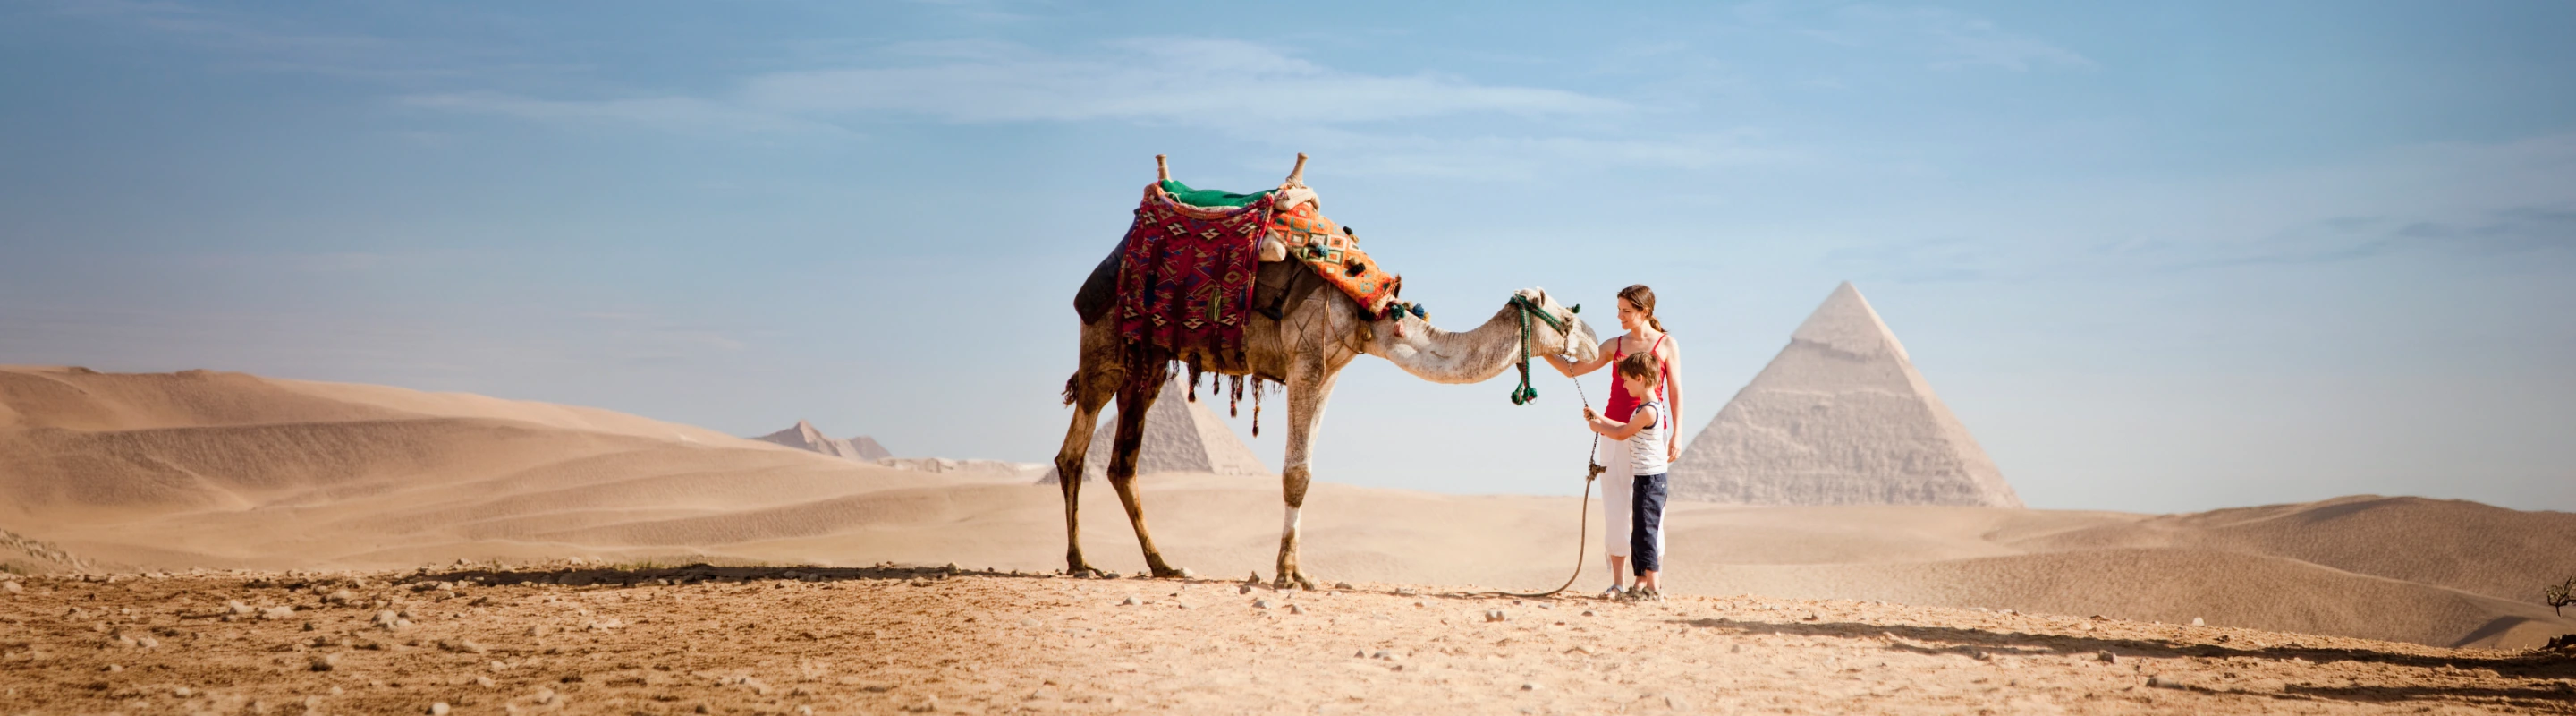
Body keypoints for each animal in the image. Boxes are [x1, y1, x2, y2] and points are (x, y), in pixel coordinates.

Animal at [1052, 156, 1601, 589]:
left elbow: (1308, 472)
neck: (1372, 314)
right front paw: (1285, 575)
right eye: (1566, 314)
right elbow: (1295, 473)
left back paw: (1164, 565)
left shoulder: (1331, 373)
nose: (1595, 341)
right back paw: (1081, 563)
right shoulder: (1306, 363)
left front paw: (1297, 571)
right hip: (1105, 344)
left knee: (1122, 462)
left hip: (1148, 360)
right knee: (1074, 452)